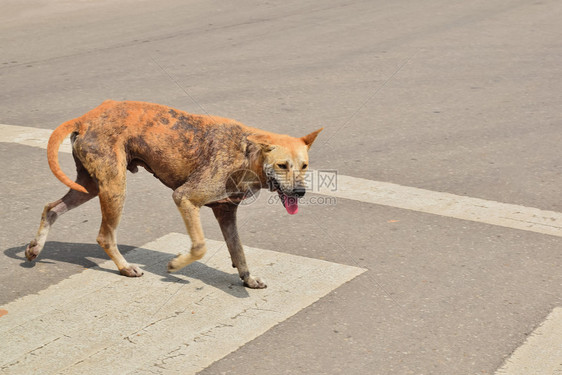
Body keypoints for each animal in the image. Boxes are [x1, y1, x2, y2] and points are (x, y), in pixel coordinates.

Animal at [26, 100, 322, 288]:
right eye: (282, 165)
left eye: (304, 165)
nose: (300, 192)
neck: (247, 154)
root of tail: (85, 118)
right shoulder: (185, 198)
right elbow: (200, 246)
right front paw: (176, 266)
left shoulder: (226, 212)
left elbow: (238, 251)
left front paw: (247, 279)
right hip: (114, 188)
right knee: (104, 236)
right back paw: (125, 267)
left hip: (90, 186)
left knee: (51, 208)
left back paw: (35, 247)